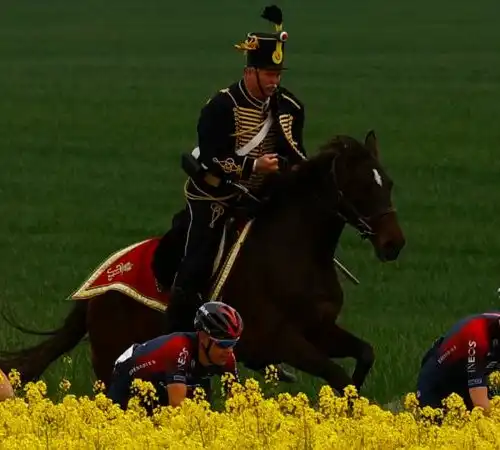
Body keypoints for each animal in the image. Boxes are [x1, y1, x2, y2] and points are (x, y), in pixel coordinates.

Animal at [0, 128, 406, 396]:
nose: (394, 244)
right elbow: (337, 374)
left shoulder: (321, 331)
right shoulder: (280, 341)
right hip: (110, 358)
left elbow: (364, 355)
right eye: (361, 186)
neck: (298, 251)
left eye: (387, 182)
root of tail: (97, 290)